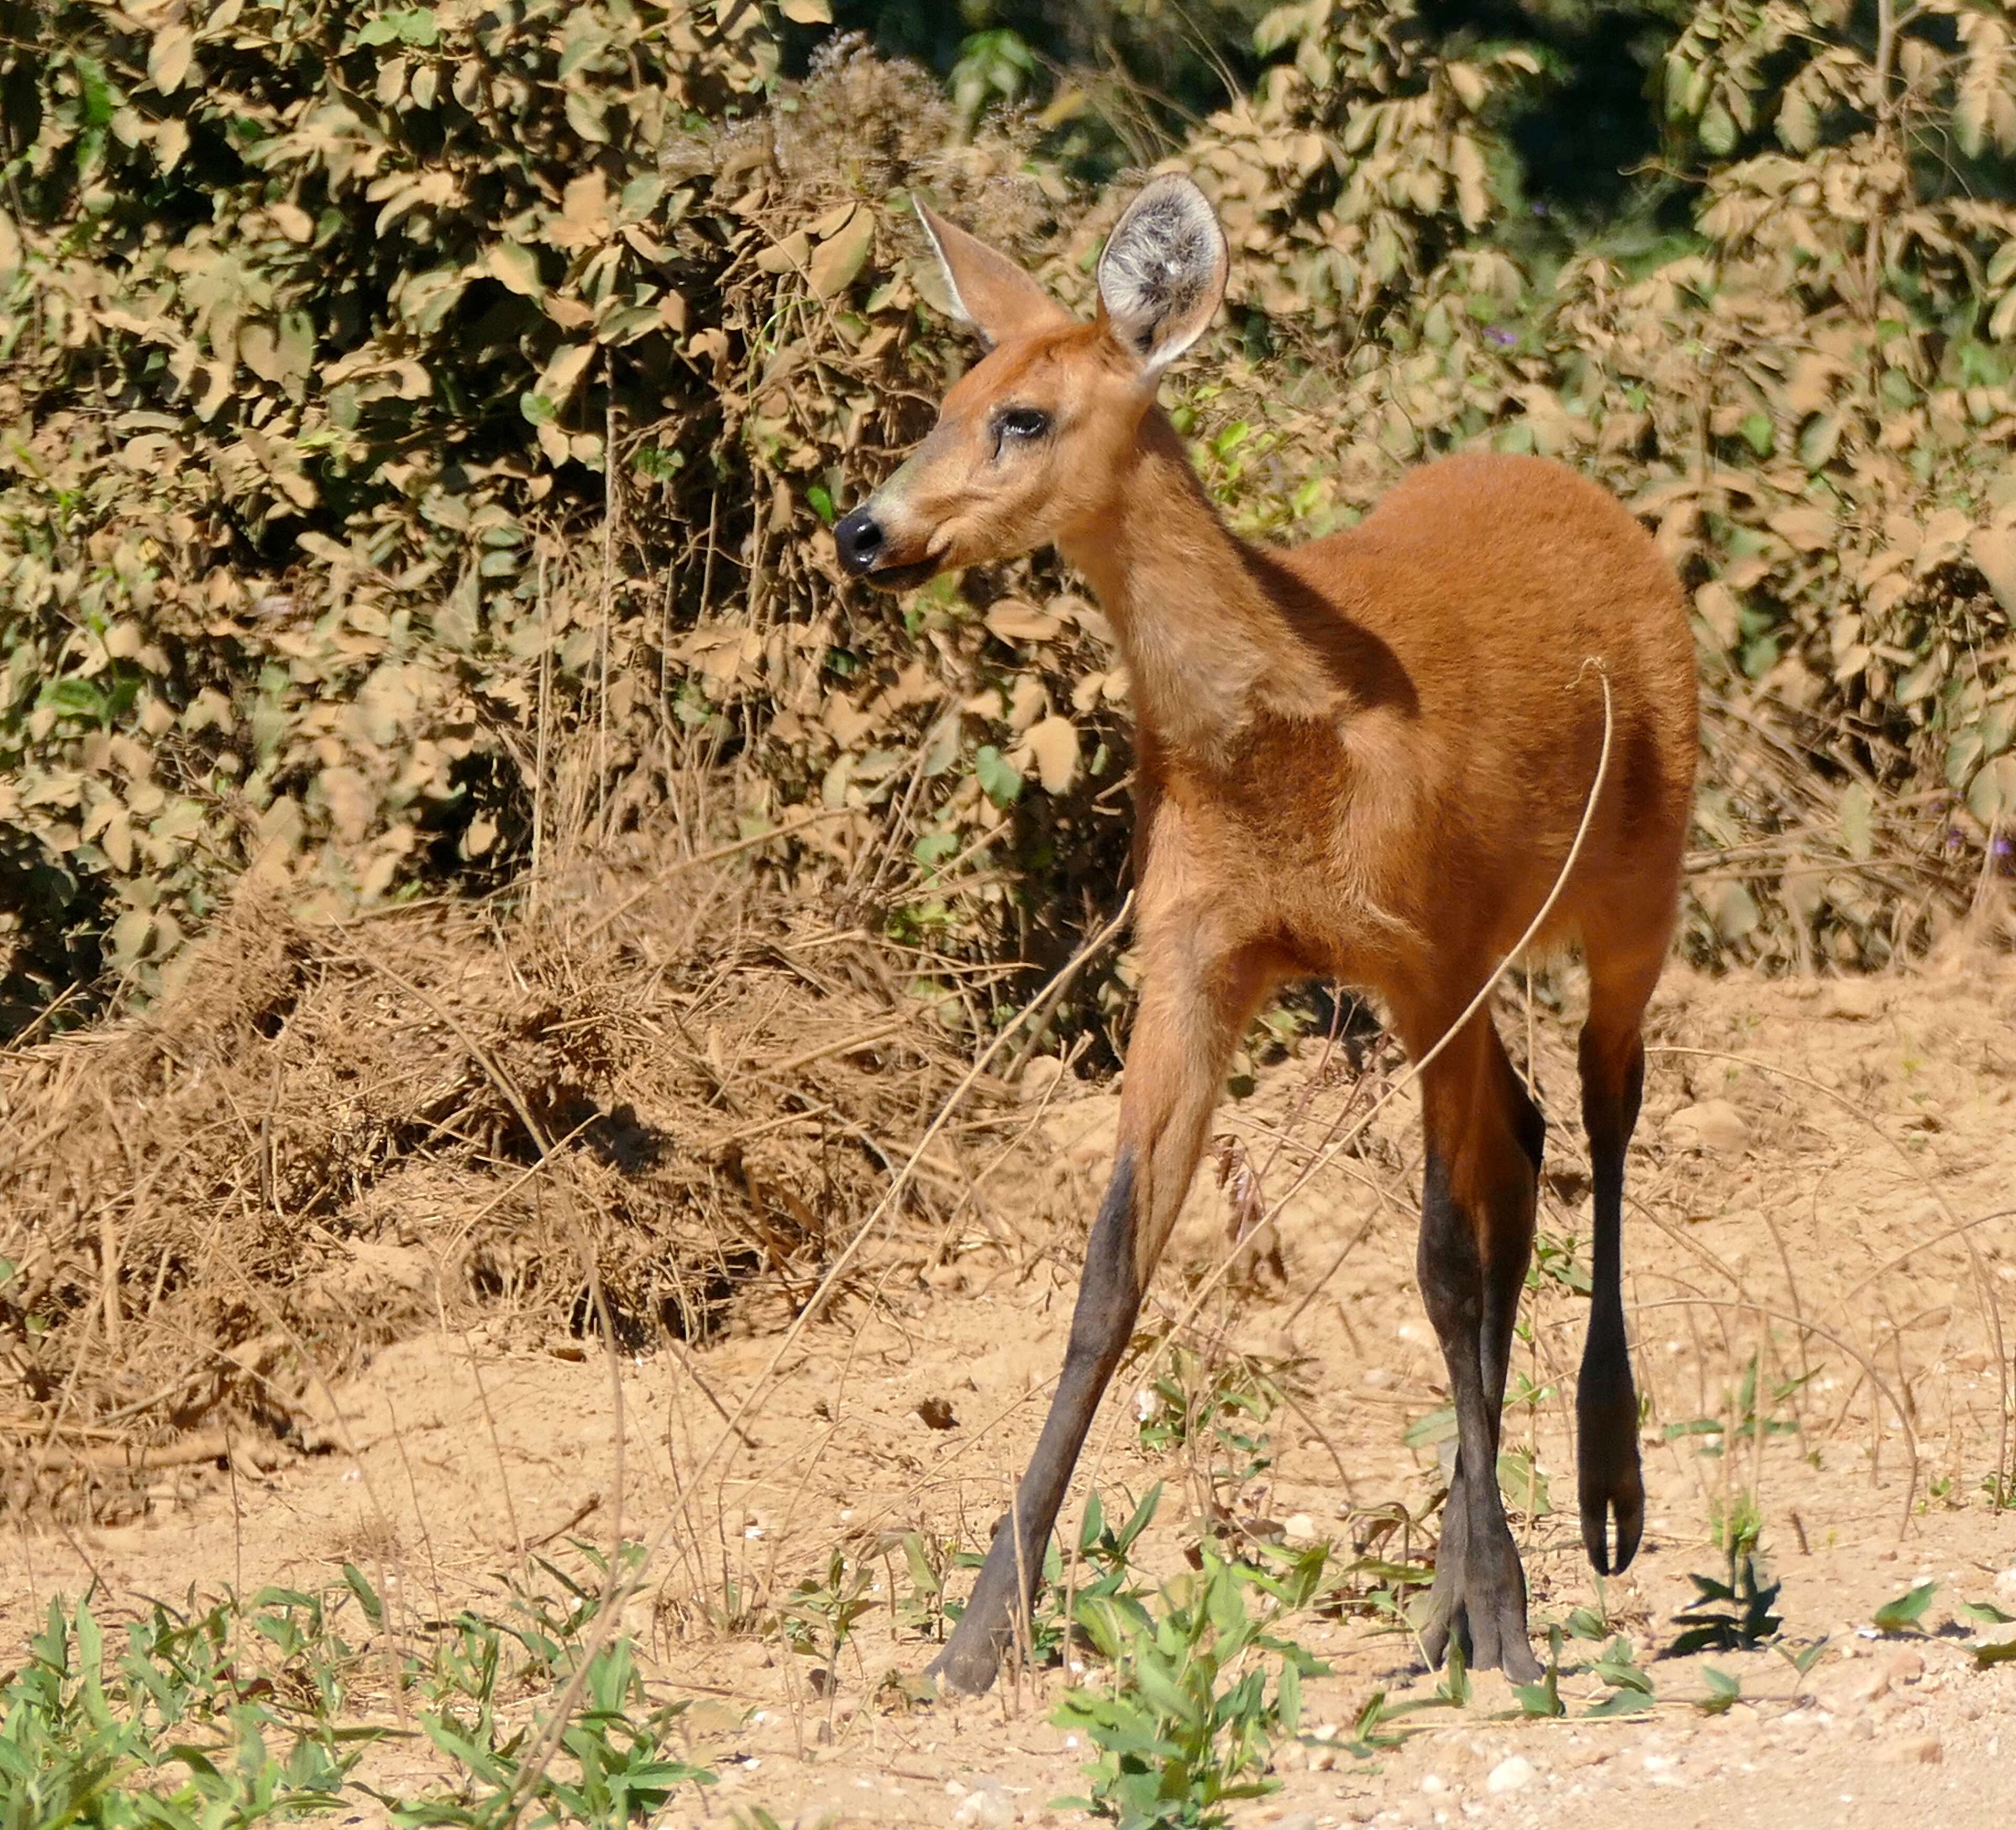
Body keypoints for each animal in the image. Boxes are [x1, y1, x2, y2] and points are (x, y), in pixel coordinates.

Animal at [834, 178, 1701, 1692]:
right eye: (948, 398)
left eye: (1026, 417)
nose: (866, 532)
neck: (1286, 742)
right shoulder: (1197, 951)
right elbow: (1111, 1272)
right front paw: (978, 1635)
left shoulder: (1430, 950)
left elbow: (1440, 1263)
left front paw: (1513, 1623)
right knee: (1526, 1146)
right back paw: (1448, 1601)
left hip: (1634, 893)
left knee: (1597, 1123)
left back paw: (1597, 1507)